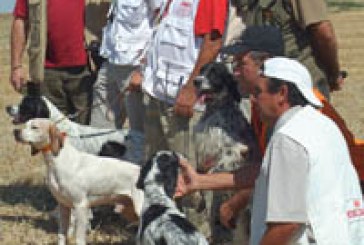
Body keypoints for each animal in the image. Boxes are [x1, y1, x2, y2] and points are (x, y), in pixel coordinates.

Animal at [14, 117, 145, 244]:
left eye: (34, 127)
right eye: (26, 124)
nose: (15, 131)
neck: (58, 160)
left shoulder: (81, 206)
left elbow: (79, 239)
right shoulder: (63, 206)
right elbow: (61, 235)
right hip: (129, 211)